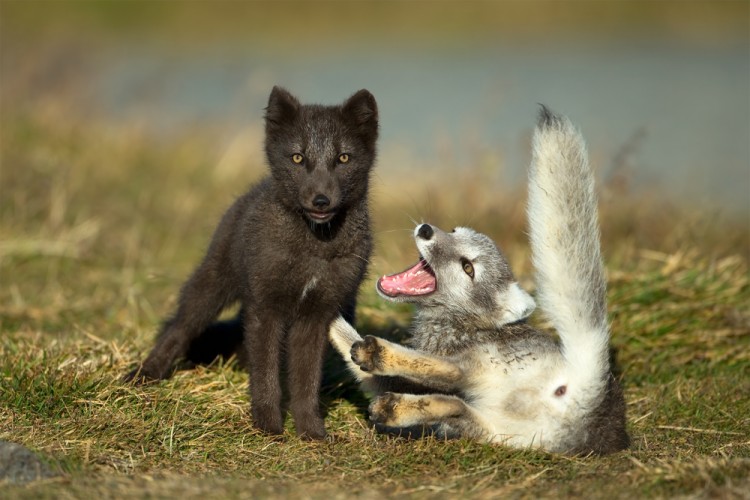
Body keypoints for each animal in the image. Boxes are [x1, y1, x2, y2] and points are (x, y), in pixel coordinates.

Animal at [127, 88, 382, 440]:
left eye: (343, 158)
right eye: (297, 158)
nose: (320, 201)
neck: (312, 249)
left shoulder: (318, 316)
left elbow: (306, 381)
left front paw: (311, 431)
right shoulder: (265, 307)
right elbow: (266, 377)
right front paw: (269, 427)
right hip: (212, 285)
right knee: (180, 327)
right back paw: (145, 374)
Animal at [328, 107, 628, 456]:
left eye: (468, 268)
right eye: (454, 231)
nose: (426, 229)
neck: (460, 322)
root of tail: (593, 398)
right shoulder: (388, 382)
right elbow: (352, 351)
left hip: (482, 367)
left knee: (449, 371)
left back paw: (379, 356)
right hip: (492, 428)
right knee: (455, 405)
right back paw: (393, 409)